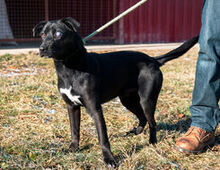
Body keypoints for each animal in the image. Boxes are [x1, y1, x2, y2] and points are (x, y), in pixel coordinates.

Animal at [33, 17, 199, 167]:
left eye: (58, 34)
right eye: (42, 34)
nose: (41, 49)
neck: (69, 68)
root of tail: (153, 59)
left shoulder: (95, 109)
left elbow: (103, 138)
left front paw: (109, 159)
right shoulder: (72, 107)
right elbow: (74, 131)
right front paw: (73, 149)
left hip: (147, 100)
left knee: (152, 121)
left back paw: (152, 142)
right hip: (127, 100)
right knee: (142, 117)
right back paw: (136, 132)